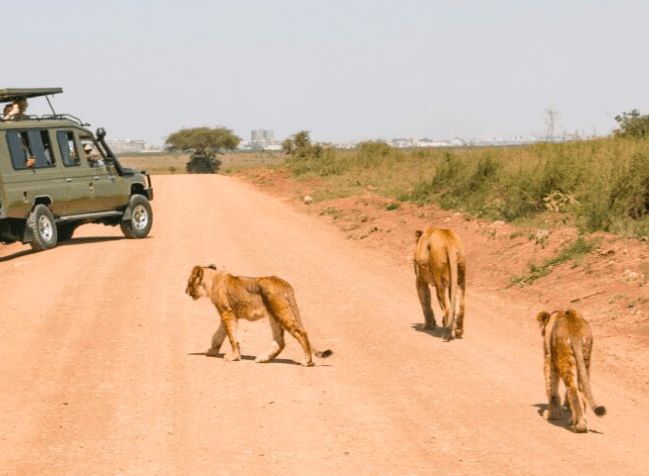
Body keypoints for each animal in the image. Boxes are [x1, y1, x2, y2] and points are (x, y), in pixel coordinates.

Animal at [185, 265, 332, 367]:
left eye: (189, 281)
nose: (185, 291)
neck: (212, 279)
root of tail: (285, 285)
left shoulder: (227, 312)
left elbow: (232, 337)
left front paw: (233, 357)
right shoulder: (227, 314)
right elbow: (218, 335)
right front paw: (212, 350)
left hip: (280, 312)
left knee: (301, 333)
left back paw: (308, 361)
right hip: (273, 316)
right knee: (280, 342)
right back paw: (263, 358)